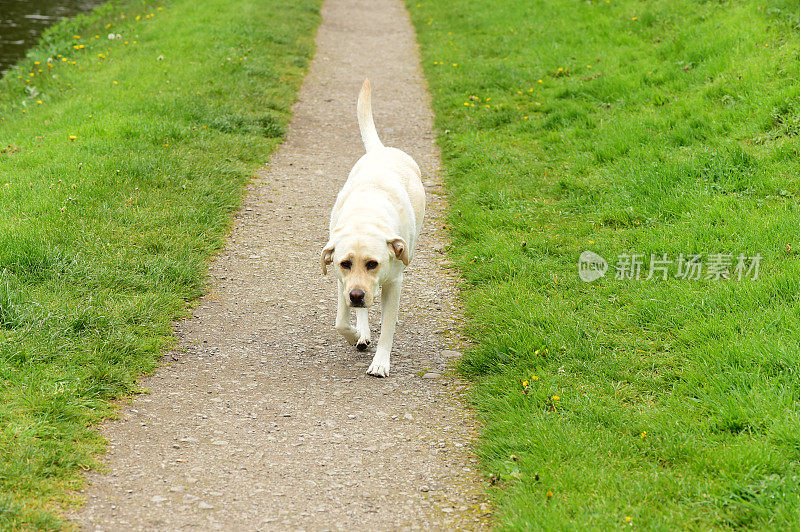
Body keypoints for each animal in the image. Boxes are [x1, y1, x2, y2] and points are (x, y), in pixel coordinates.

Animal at [322, 79, 428, 378]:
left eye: (373, 263)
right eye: (345, 263)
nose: (357, 295)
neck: (364, 216)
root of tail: (382, 150)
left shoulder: (394, 283)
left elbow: (388, 328)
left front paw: (380, 363)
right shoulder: (341, 279)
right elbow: (340, 322)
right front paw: (357, 333)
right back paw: (362, 331)